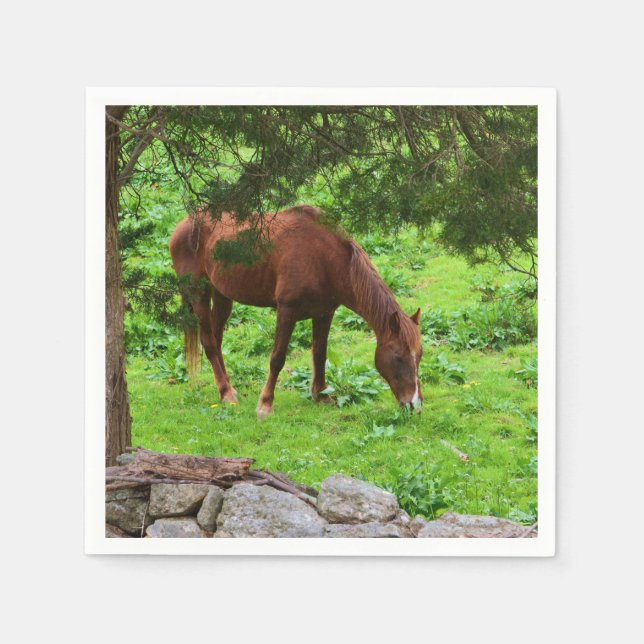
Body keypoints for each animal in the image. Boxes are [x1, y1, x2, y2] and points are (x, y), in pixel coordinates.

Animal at [169, 205, 423, 418]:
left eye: (419, 356)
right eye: (399, 357)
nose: (415, 404)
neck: (325, 259)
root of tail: (185, 224)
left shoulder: (324, 313)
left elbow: (320, 353)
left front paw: (320, 395)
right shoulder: (287, 311)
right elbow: (277, 358)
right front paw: (265, 404)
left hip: (222, 295)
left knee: (216, 339)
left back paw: (225, 389)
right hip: (198, 292)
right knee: (209, 342)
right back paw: (227, 393)